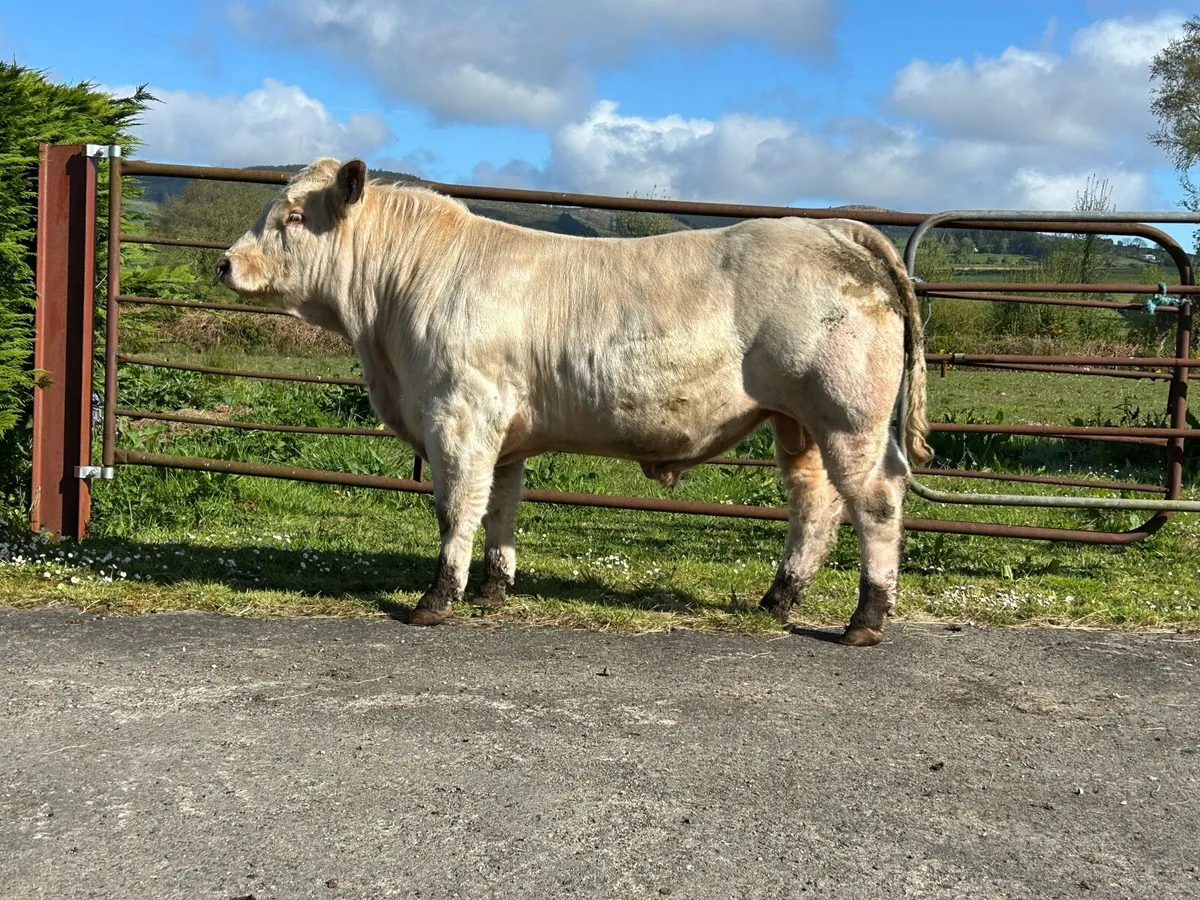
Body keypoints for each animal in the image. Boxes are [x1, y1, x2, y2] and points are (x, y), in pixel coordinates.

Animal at [216, 157, 932, 646]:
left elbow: (456, 509)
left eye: (293, 217)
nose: (224, 264)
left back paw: (865, 619)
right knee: (814, 503)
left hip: (849, 415)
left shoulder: (459, 415)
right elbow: (500, 508)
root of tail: (833, 229)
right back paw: (778, 599)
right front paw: (492, 592)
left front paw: (436, 600)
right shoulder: (503, 432)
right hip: (797, 423)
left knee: (875, 500)